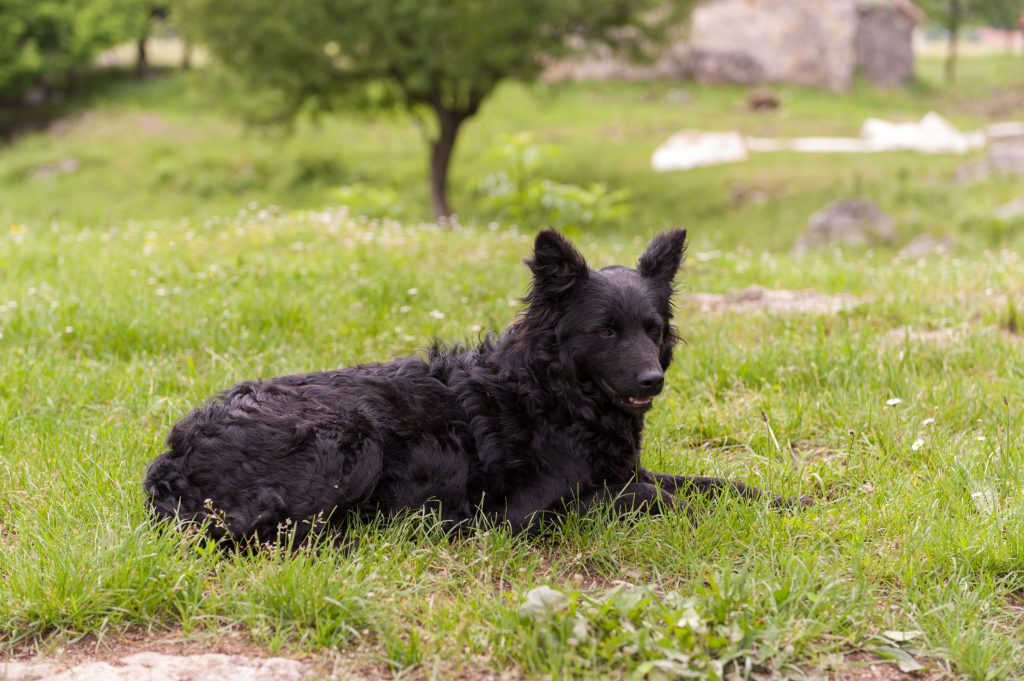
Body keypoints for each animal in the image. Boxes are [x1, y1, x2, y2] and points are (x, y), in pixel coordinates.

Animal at [144, 231, 798, 544]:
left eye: (652, 328)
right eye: (606, 331)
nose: (652, 379)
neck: (553, 395)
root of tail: (175, 457)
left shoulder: (625, 470)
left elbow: (715, 483)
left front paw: (791, 504)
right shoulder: (539, 509)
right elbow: (656, 498)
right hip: (352, 441)